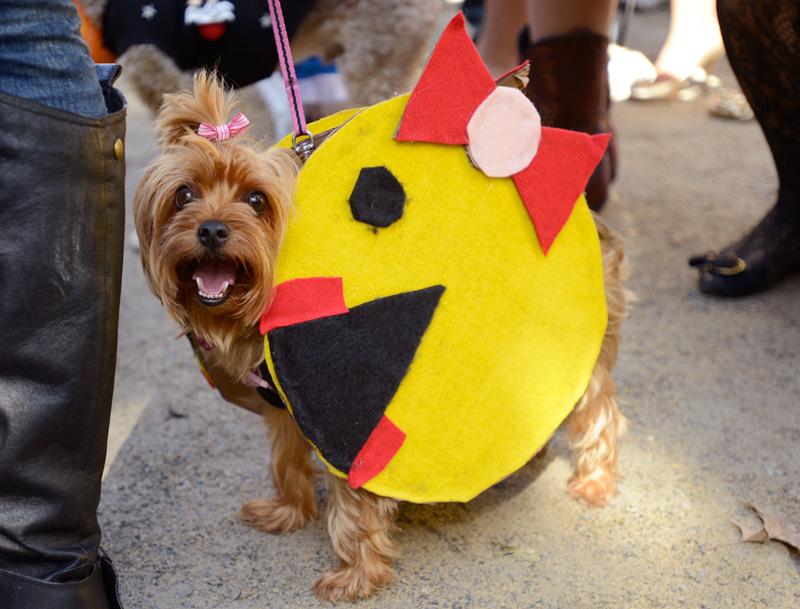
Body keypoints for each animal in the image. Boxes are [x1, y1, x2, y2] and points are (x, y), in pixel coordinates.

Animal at [133, 71, 632, 600]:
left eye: (256, 200)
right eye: (184, 195)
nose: (211, 230)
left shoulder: (343, 418)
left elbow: (355, 505)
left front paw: (355, 574)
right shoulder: (286, 408)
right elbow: (286, 458)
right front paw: (288, 511)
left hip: (586, 355)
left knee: (599, 412)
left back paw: (596, 482)